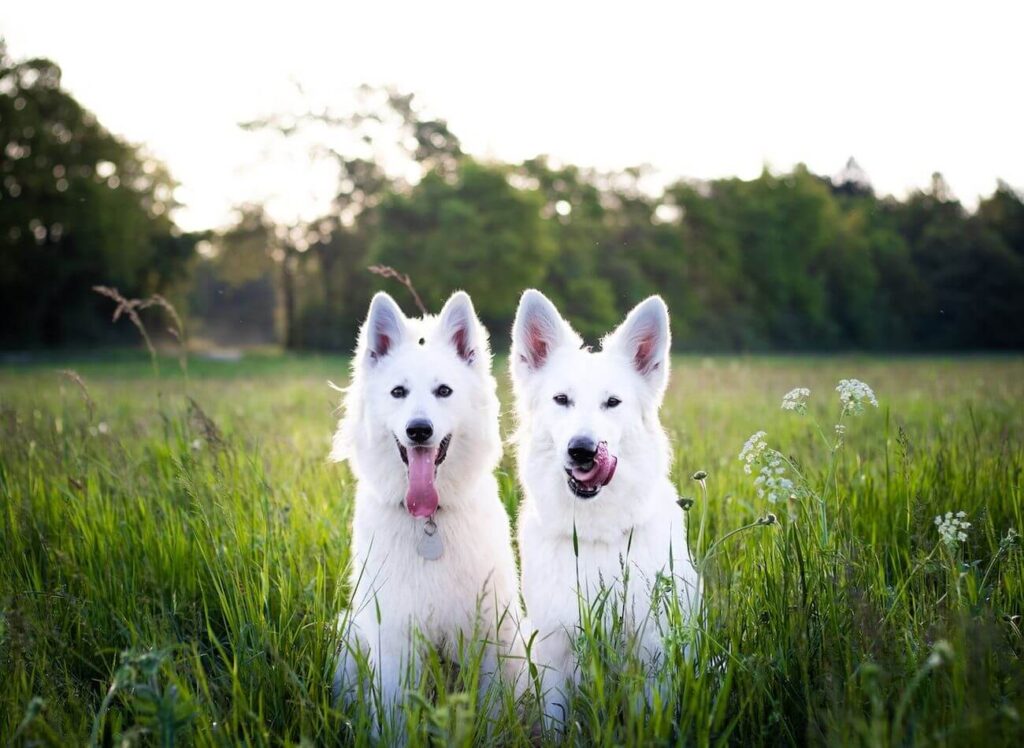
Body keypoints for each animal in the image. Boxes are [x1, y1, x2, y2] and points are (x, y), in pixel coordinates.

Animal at [331, 288, 524, 729]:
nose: (419, 430)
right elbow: (397, 716)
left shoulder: (490, 633)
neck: (429, 522)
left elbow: (491, 711)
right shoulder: (394, 637)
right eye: (398, 392)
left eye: (444, 391)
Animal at [507, 288, 700, 725]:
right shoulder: (554, 651)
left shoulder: (652, 653)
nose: (583, 450)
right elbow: (556, 722)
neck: (595, 536)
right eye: (562, 400)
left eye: (613, 402)